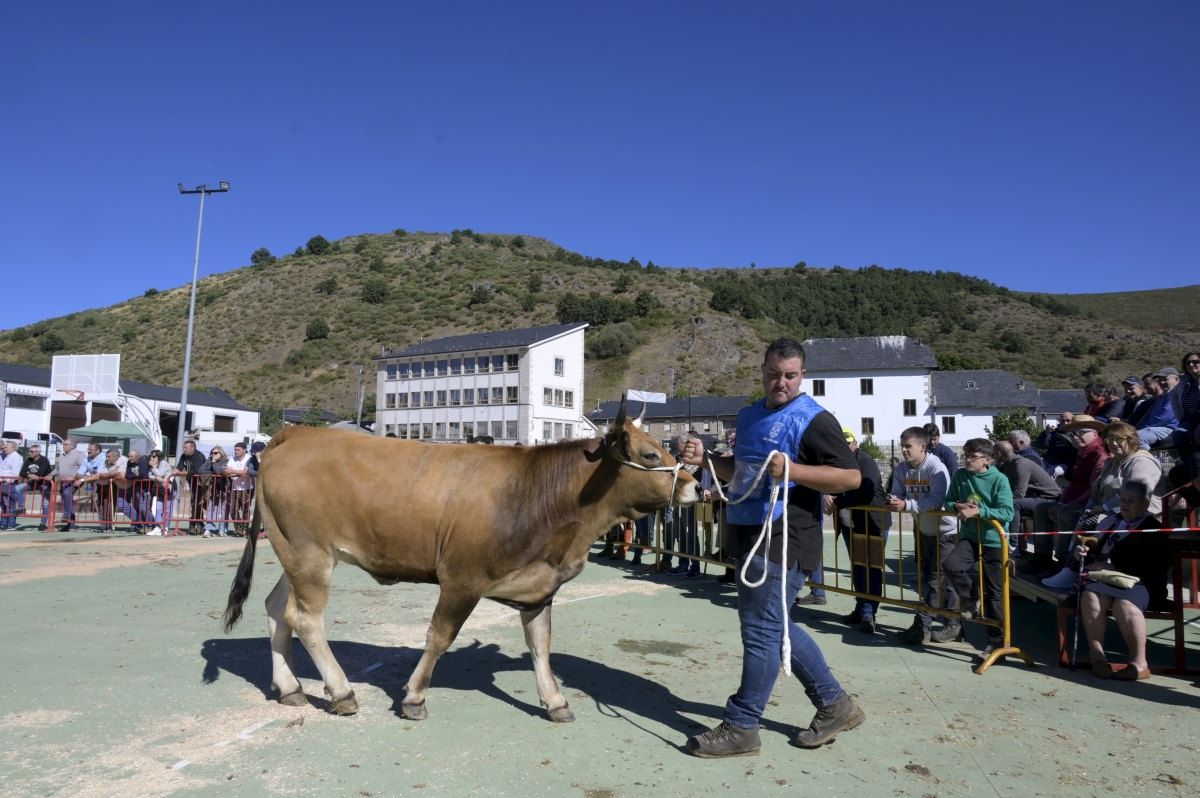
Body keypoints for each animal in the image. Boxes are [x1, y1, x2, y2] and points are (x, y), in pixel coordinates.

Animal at [223, 396, 700, 720]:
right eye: (651, 454)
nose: (697, 486)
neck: (535, 495)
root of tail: (298, 434)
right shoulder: (461, 579)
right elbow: (440, 637)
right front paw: (414, 696)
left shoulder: (539, 586)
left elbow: (540, 645)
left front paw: (555, 700)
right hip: (309, 554)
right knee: (305, 618)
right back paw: (341, 692)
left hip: (294, 551)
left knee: (277, 608)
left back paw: (289, 687)